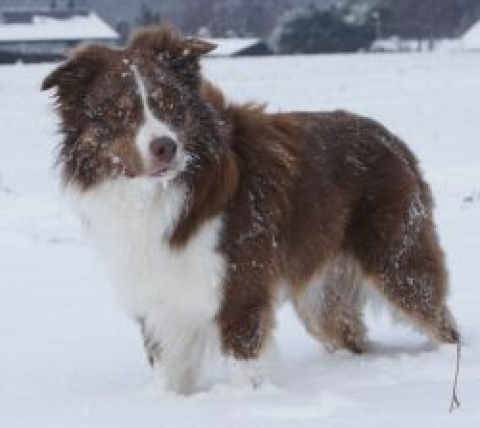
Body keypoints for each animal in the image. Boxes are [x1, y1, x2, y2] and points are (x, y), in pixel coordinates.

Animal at [43, 25, 460, 394]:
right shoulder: (158, 297)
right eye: (118, 113)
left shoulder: (241, 291)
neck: (161, 193)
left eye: (170, 105)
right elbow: (170, 373)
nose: (165, 147)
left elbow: (245, 366)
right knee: (349, 334)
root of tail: (392, 138)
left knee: (441, 323)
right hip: (321, 295)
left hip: (397, 262)